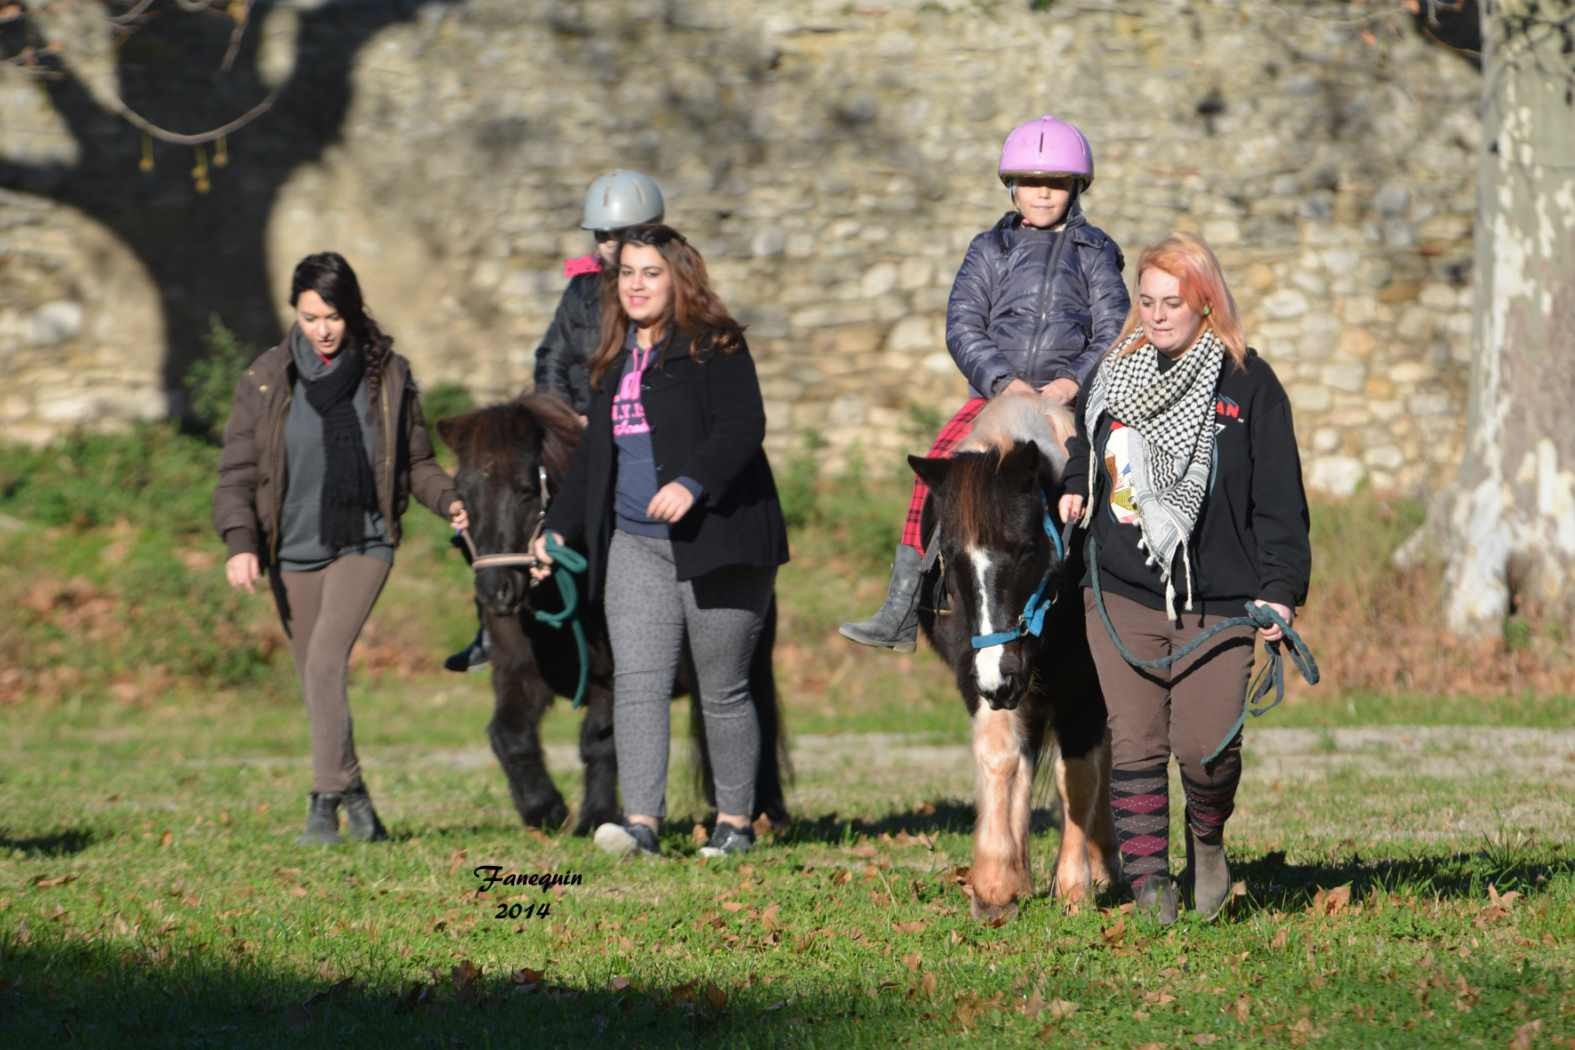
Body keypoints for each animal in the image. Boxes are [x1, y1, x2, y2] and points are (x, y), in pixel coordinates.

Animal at [437, 393, 787, 837]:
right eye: (463, 494)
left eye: (526, 491)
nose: (494, 592)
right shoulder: (518, 671)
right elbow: (508, 734)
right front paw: (544, 810)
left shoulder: (615, 673)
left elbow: (600, 741)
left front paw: (595, 817)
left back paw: (767, 813)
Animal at [907, 393, 1115, 919]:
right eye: (952, 555)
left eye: (1024, 548)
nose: (999, 675)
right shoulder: (977, 674)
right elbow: (1002, 756)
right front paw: (996, 884)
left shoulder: (1085, 683)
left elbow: (1078, 775)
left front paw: (1075, 887)